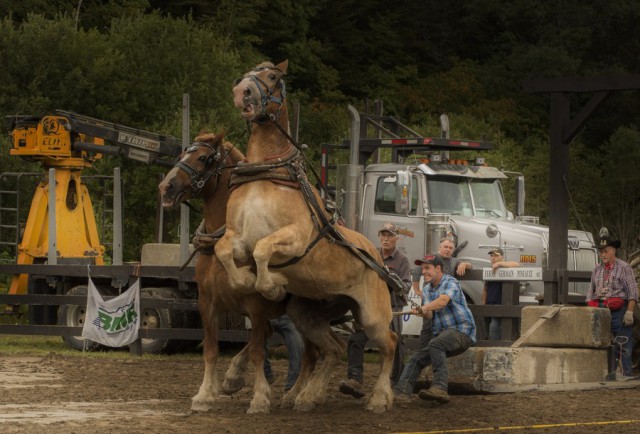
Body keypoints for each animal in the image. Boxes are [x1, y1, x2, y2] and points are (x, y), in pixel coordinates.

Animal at [158, 133, 284, 414]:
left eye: (204, 158)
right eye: (182, 154)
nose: (165, 186)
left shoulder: (256, 305)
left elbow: (258, 350)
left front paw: (260, 398)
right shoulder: (207, 302)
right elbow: (211, 349)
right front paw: (206, 394)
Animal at [212, 59, 398, 412]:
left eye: (272, 76)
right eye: (245, 74)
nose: (241, 92)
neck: (267, 171)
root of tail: (377, 257)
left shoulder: (295, 237)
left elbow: (263, 250)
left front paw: (272, 285)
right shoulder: (238, 236)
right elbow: (224, 250)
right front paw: (245, 280)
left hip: (373, 316)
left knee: (389, 345)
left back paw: (380, 399)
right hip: (308, 314)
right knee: (335, 348)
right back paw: (308, 397)